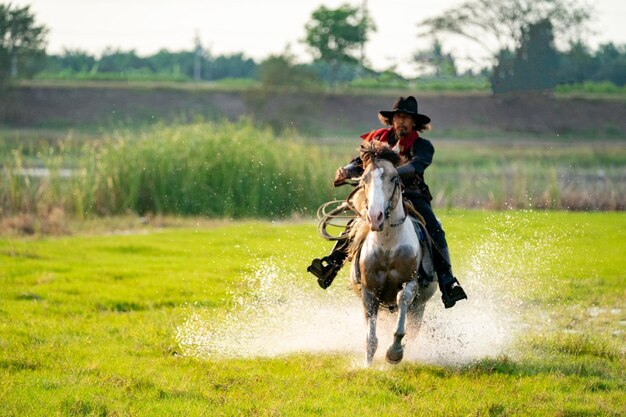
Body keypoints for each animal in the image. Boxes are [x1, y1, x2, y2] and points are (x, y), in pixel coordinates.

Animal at [346, 141, 434, 366]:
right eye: (364, 179)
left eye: (394, 178)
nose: (375, 217)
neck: (388, 246)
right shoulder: (369, 290)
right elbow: (370, 336)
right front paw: (368, 364)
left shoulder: (411, 283)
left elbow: (403, 298)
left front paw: (394, 352)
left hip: (419, 307)